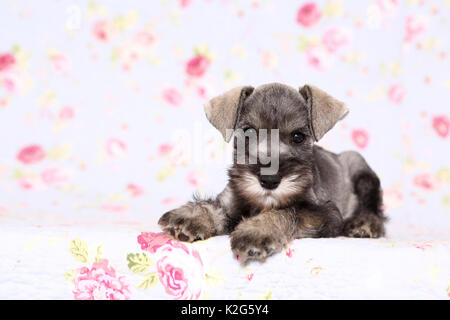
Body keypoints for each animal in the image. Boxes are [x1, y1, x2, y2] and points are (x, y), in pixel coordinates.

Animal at [156, 82, 384, 262]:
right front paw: (190, 217)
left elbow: (285, 212)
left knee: (373, 205)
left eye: (298, 136)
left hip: (359, 167)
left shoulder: (324, 214)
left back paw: (365, 224)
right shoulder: (231, 200)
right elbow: (213, 206)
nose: (269, 179)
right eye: (248, 132)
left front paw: (256, 231)